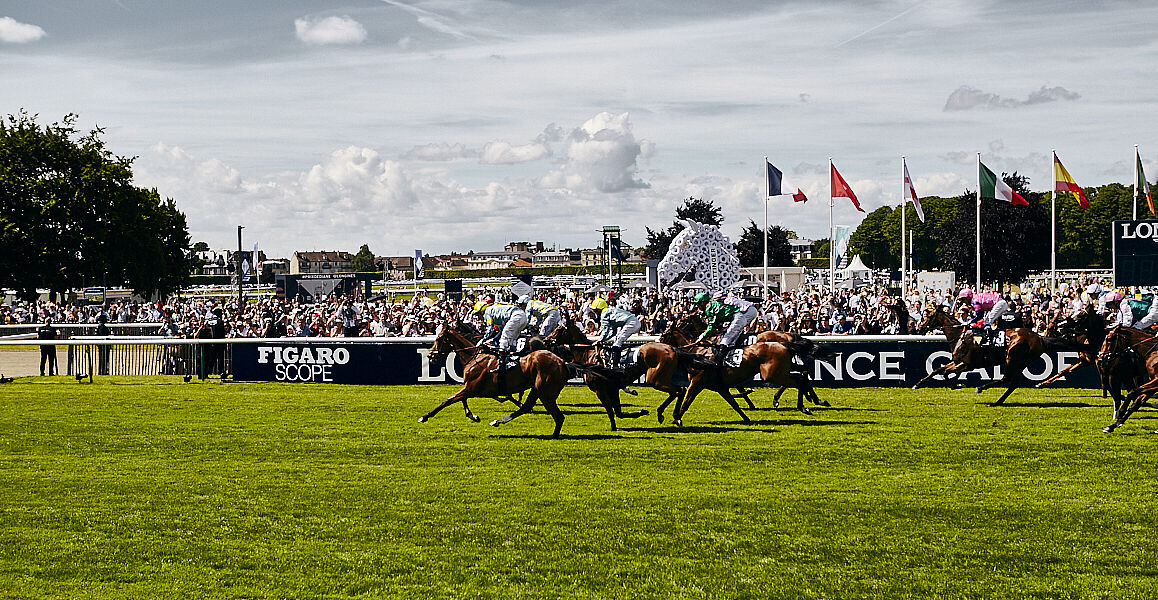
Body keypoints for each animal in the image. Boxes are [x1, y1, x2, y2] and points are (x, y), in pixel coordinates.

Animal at [421, 322, 570, 437]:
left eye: (438, 338)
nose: (430, 355)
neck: (474, 356)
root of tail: (562, 362)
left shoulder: (471, 388)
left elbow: (448, 400)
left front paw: (424, 417)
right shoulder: (471, 388)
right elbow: (462, 400)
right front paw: (473, 416)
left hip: (545, 392)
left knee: (558, 416)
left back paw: (553, 435)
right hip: (537, 390)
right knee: (528, 408)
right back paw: (498, 421)